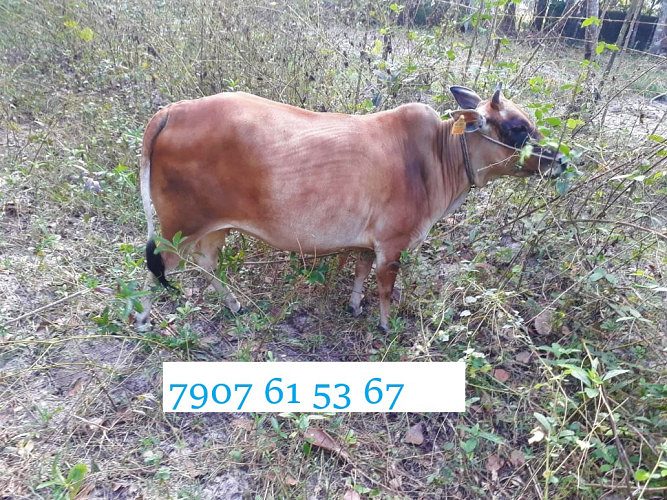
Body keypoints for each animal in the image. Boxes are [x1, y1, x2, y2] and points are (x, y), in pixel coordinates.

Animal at [134, 85, 566, 332]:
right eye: (518, 128)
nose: (559, 160)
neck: (433, 157)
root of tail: (172, 110)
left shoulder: (366, 242)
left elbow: (360, 272)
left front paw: (356, 306)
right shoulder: (392, 244)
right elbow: (386, 287)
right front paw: (386, 326)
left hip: (214, 226)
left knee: (207, 263)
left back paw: (234, 304)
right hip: (177, 227)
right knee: (155, 270)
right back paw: (142, 320)